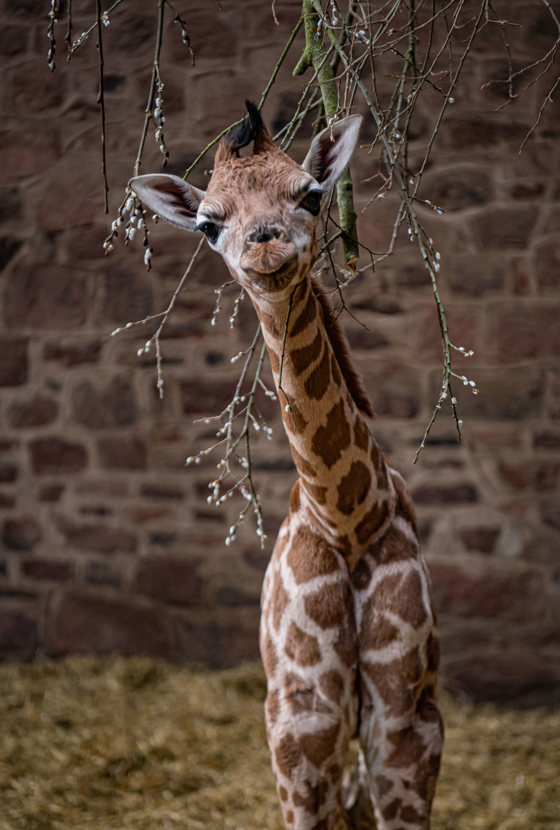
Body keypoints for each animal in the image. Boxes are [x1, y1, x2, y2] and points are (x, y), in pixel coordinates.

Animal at [131, 102, 443, 830]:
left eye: (310, 194)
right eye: (207, 223)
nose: (265, 245)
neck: (346, 514)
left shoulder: (409, 721)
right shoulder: (299, 721)